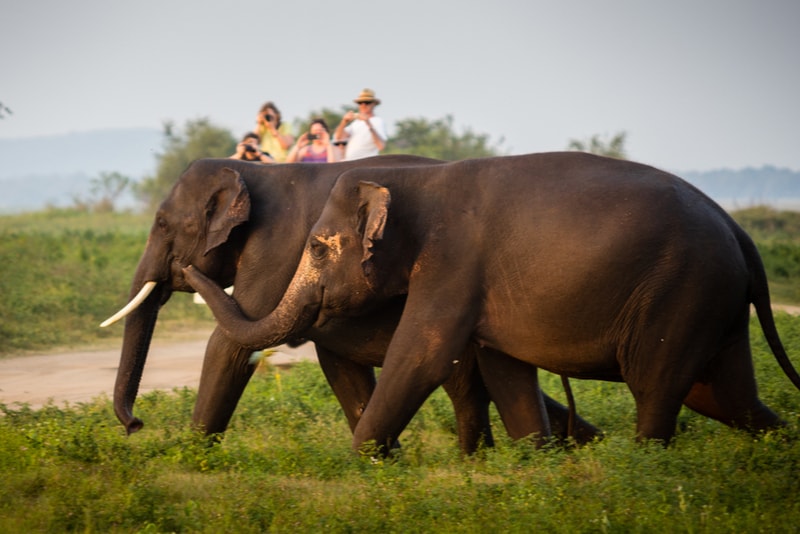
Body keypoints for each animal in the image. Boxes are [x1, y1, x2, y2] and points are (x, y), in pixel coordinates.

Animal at [102, 156, 599, 453]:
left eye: (161, 224)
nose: (135, 426)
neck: (250, 171)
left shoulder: (274, 251)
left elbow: (229, 345)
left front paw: (189, 457)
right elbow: (338, 364)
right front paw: (389, 462)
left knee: (463, 380)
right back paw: (583, 444)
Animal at [184, 151, 800, 453]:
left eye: (315, 246)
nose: (187, 268)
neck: (409, 184)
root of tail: (738, 231)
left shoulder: (451, 264)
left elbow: (421, 356)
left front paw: (357, 469)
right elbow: (503, 367)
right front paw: (533, 465)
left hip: (682, 293)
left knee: (657, 387)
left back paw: (643, 470)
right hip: (712, 302)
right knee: (725, 395)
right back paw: (775, 457)